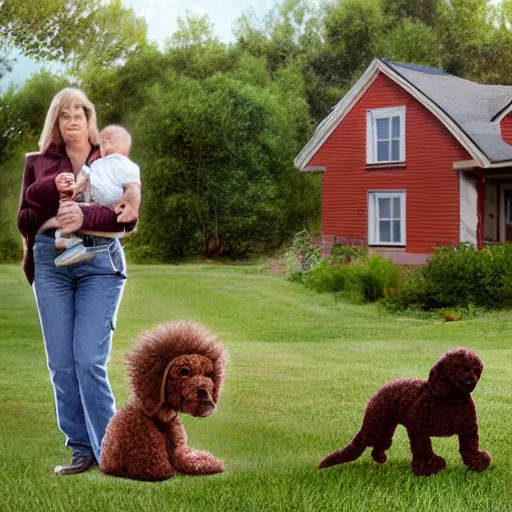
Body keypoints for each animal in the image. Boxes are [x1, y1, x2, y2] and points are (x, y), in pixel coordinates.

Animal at [99, 322, 226, 482]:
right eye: (184, 372)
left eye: (207, 374)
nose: (203, 391)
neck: (160, 415)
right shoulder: (152, 462)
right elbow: (165, 470)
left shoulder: (181, 452)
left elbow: (196, 459)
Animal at [318, 348, 490, 476]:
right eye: (464, 369)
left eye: (476, 370)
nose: (472, 379)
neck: (452, 398)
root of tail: (380, 389)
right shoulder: (417, 428)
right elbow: (423, 448)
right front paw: (428, 467)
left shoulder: (468, 429)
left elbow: (470, 447)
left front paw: (478, 462)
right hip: (377, 425)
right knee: (364, 443)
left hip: (385, 429)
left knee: (377, 447)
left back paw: (380, 458)